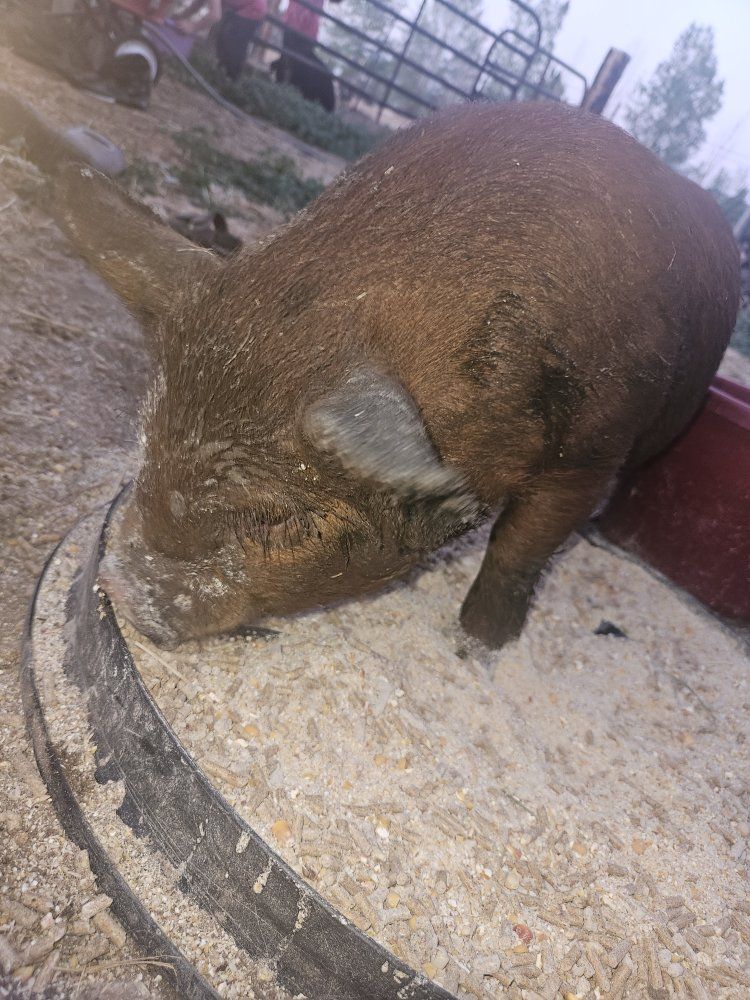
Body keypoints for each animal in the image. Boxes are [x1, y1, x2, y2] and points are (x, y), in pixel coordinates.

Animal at [1, 91, 739, 650]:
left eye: (275, 519)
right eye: (148, 444)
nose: (122, 589)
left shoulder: (592, 450)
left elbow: (521, 541)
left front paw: (476, 644)